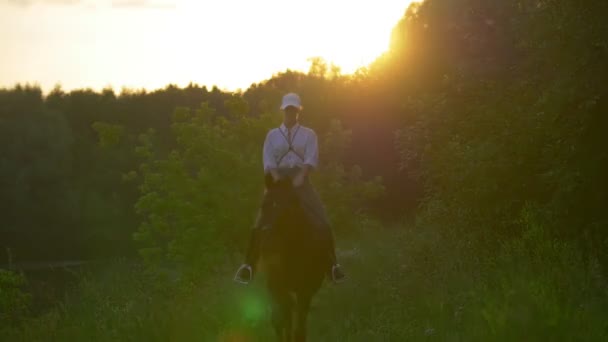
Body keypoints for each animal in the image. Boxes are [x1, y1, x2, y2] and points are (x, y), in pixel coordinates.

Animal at [258, 176, 330, 342]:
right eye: (263, 206)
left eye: (286, 211)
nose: (267, 246)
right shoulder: (277, 286)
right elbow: (282, 318)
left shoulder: (306, 290)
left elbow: (299, 328)